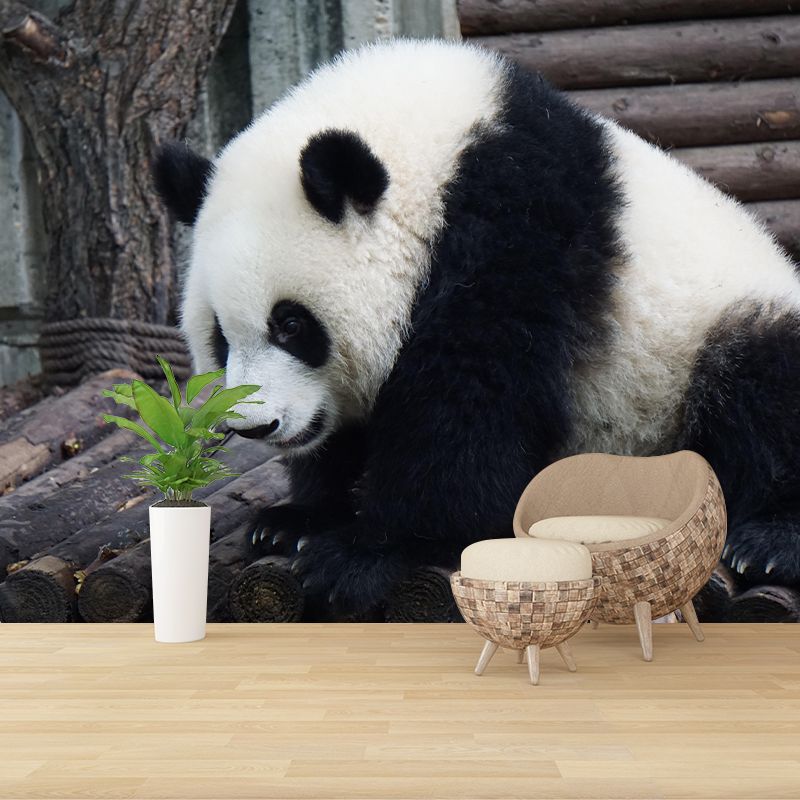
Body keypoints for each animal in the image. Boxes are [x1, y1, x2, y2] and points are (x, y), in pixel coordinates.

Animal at [154, 38, 800, 620]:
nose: (257, 426)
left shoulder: (513, 237)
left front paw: (360, 554)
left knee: (759, 386)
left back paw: (767, 544)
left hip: (709, 337)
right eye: (219, 336)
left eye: (292, 324)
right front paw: (296, 521)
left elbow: (467, 415)